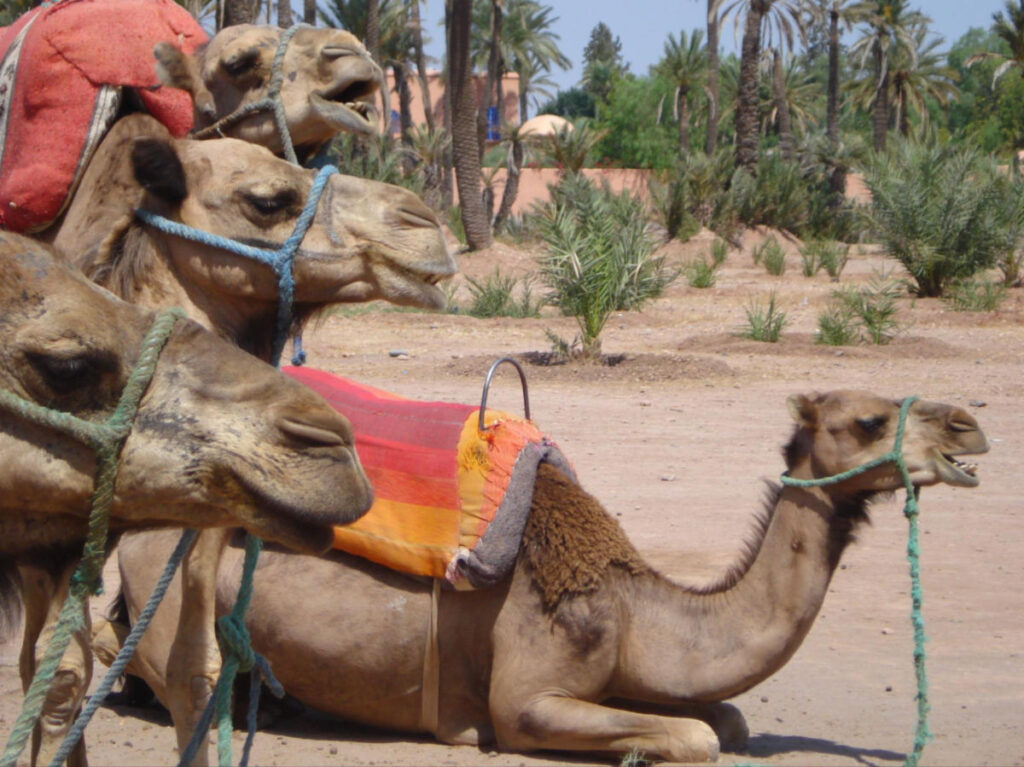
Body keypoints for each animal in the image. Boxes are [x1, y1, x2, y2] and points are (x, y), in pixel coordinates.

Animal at [105, 389, 988, 762]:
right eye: (868, 420)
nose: (969, 427)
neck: (635, 607)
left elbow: (729, 719)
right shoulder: (527, 698)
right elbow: (700, 736)